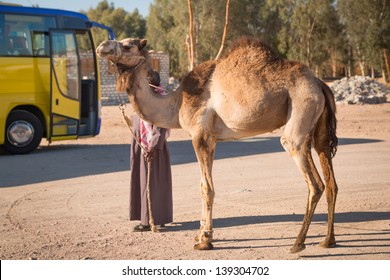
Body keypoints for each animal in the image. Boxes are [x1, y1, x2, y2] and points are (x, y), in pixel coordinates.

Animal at [96, 37, 338, 254]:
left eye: (128, 45)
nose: (102, 46)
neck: (177, 102)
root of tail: (320, 84)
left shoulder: (199, 136)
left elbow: (206, 188)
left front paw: (204, 240)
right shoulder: (211, 141)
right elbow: (204, 186)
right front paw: (201, 234)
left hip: (300, 113)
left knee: (313, 181)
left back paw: (298, 243)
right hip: (318, 128)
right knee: (330, 181)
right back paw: (328, 241)